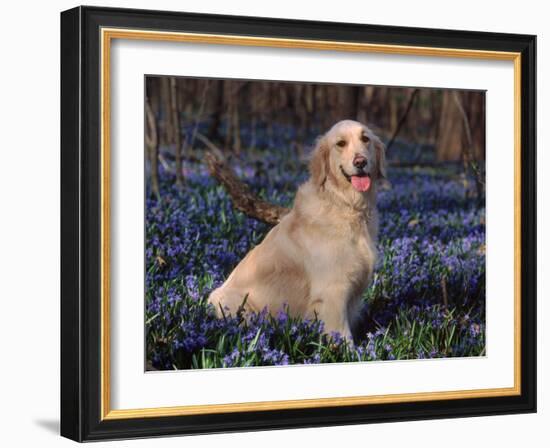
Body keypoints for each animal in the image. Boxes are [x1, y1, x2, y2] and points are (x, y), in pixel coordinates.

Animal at [208, 119, 388, 340]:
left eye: (365, 139)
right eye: (340, 143)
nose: (360, 162)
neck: (345, 205)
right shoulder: (333, 292)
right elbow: (343, 336)